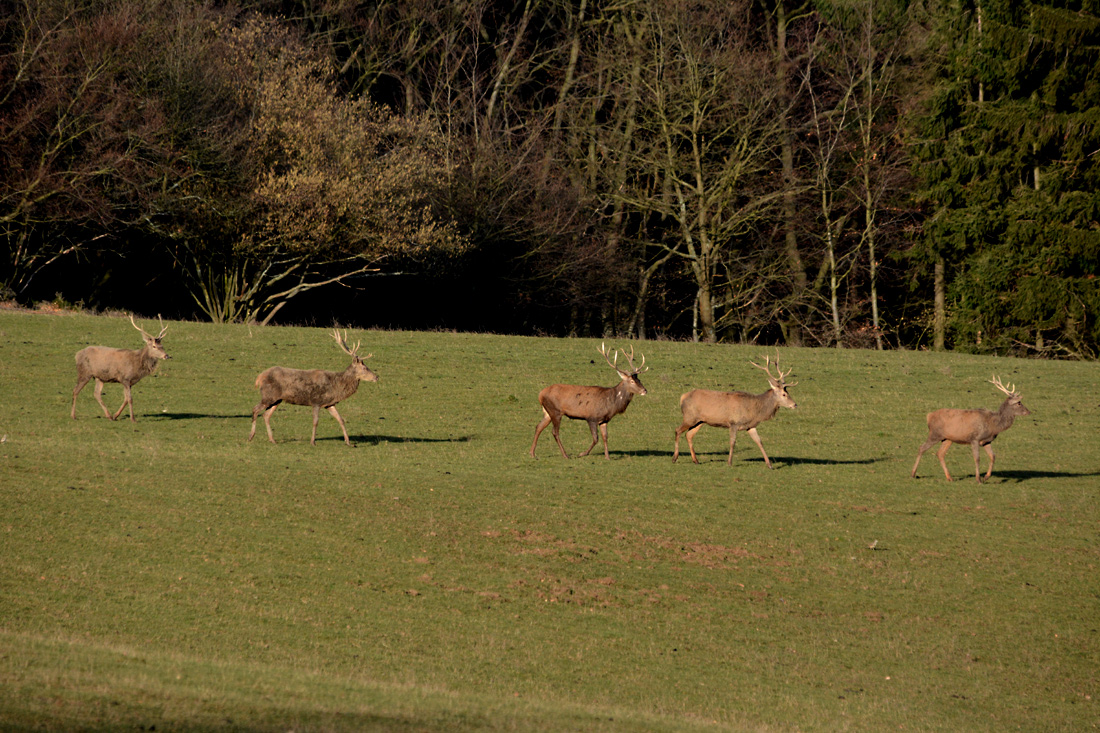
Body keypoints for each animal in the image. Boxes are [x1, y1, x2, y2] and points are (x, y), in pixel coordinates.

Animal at [250, 330, 382, 444]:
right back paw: (251, 436)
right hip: (268, 395)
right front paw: (313, 442)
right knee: (255, 409)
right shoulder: (316, 401)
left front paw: (348, 442)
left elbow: (341, 419)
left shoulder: (329, 404)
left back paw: (272, 440)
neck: (335, 386)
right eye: (364, 368)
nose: (376, 377)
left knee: (266, 415)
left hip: (277, 399)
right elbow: (315, 421)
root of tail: (259, 378)